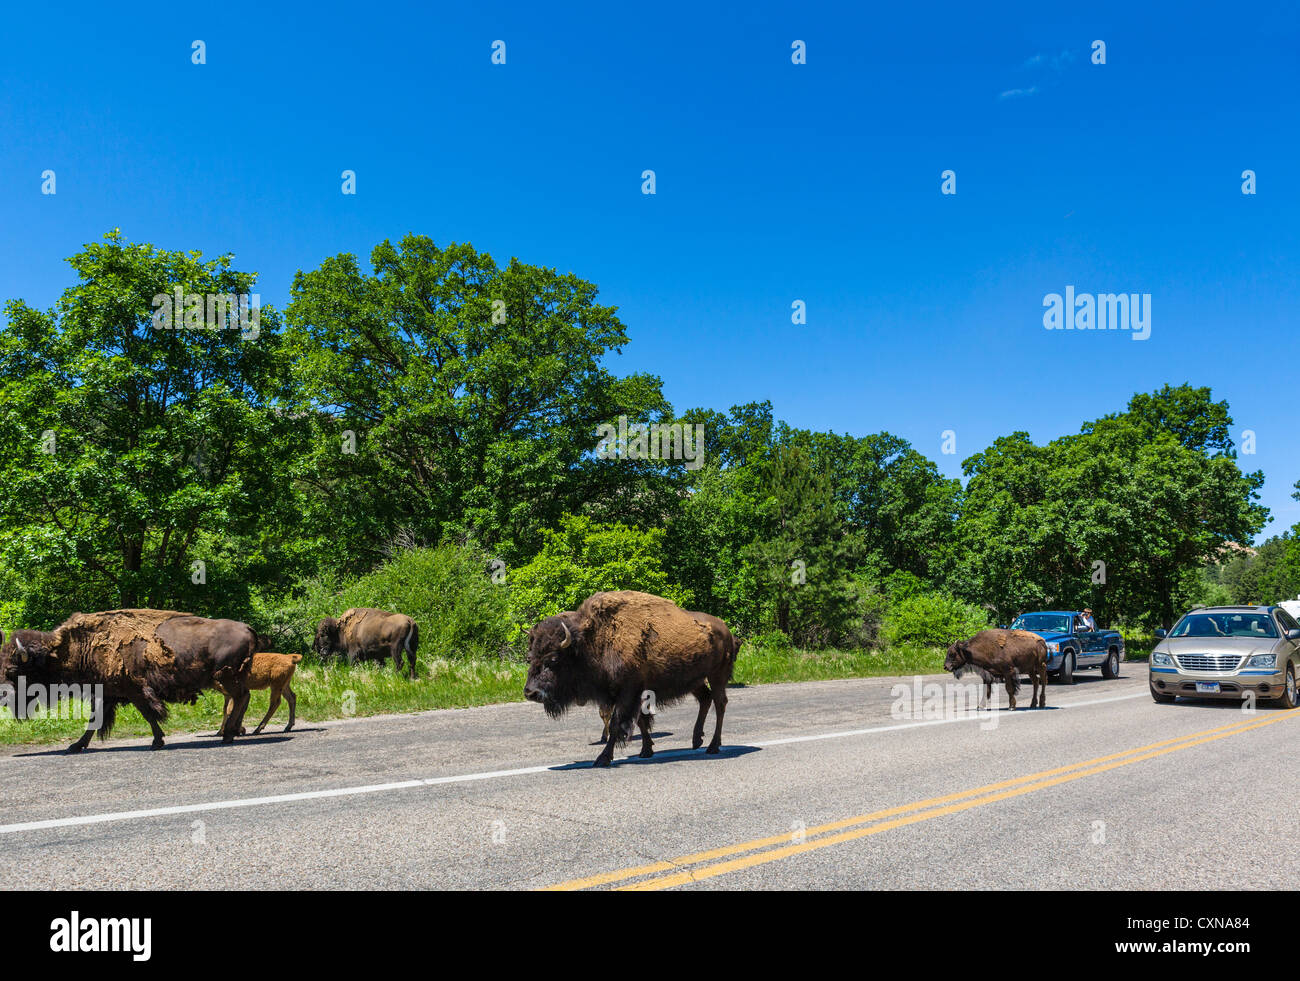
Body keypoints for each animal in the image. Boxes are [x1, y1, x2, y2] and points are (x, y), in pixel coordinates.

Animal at [0, 610, 256, 753]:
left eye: (13, 669)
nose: (3, 696)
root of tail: (248, 628)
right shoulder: (107, 694)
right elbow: (94, 721)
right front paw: (76, 746)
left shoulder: (134, 691)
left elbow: (148, 714)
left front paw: (157, 741)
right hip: (230, 679)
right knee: (243, 698)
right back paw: (231, 733)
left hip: (226, 677)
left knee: (241, 697)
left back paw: (228, 735)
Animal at [520, 589, 743, 769]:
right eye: (530, 657)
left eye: (553, 659)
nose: (531, 692)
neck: (592, 642)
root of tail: (727, 632)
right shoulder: (635, 694)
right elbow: (641, 721)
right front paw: (646, 751)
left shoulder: (627, 693)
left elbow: (617, 724)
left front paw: (602, 759)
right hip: (694, 680)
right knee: (705, 699)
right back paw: (697, 740)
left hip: (717, 676)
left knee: (720, 703)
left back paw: (713, 746)